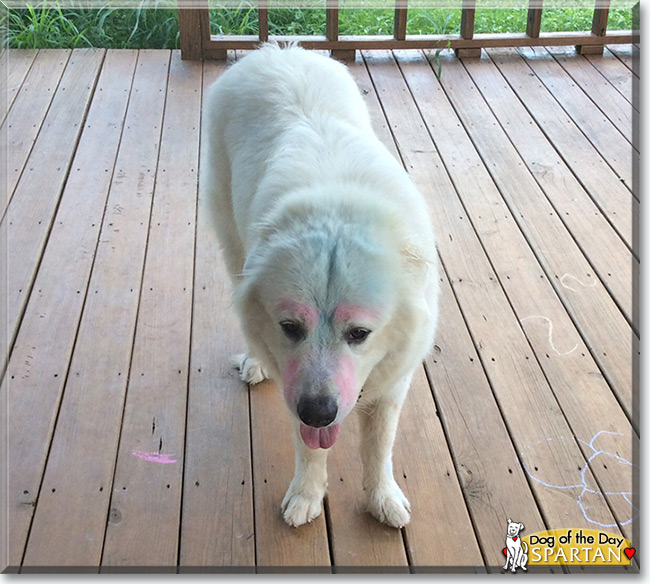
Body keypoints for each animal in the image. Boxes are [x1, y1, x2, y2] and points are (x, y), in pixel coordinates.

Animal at [200, 45, 438, 528]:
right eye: (290, 327)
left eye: (359, 334)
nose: (319, 411)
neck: (337, 209)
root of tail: (274, 51)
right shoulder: (296, 385)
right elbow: (308, 450)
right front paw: (306, 496)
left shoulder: (392, 384)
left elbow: (379, 447)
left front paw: (383, 498)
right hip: (231, 243)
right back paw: (254, 362)